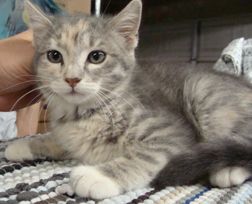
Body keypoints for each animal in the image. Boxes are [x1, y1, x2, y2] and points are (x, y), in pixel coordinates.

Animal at [4, 0, 252, 200]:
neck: (85, 114)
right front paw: (25, 144)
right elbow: (59, 140)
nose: (72, 78)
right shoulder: (73, 137)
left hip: (201, 91)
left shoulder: (173, 133)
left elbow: (146, 154)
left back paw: (228, 170)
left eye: (97, 56)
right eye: (54, 56)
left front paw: (98, 176)